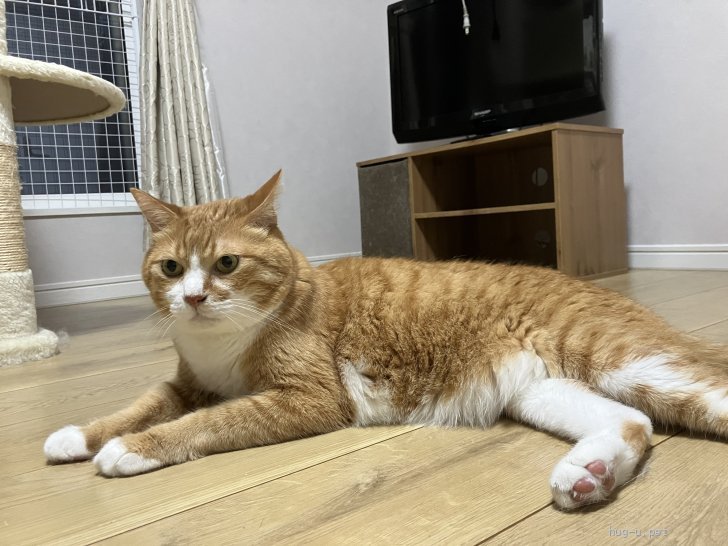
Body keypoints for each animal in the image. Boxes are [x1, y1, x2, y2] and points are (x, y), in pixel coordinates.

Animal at [44, 170, 728, 510]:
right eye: (169, 268)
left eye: (227, 264)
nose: (191, 298)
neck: (223, 346)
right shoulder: (187, 381)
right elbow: (144, 403)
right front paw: (79, 434)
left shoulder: (308, 399)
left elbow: (208, 422)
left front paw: (132, 448)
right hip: (539, 389)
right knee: (634, 421)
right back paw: (590, 475)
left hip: (622, 357)